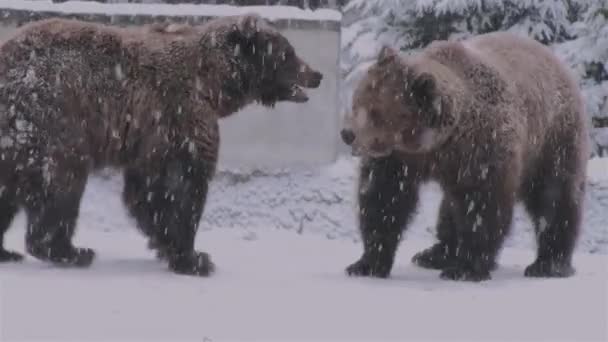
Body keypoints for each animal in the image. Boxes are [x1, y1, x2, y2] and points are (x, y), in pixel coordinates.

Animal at [0, 13, 324, 276]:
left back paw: (9, 251)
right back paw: (72, 251)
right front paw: (195, 258)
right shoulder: (177, 117)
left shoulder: (149, 138)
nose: (317, 74)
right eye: (288, 53)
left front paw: (171, 247)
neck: (213, 83)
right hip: (53, 121)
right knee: (61, 184)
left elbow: (147, 189)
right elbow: (177, 185)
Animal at [340, 32, 588, 282]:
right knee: (449, 207)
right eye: (357, 101)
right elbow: (383, 198)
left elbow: (482, 205)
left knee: (553, 196)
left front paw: (466, 268)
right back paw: (434, 254)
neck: (436, 144)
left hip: (552, 140)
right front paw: (366, 264)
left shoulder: (483, 150)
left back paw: (548, 264)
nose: (348, 134)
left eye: (376, 113)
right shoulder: (400, 159)